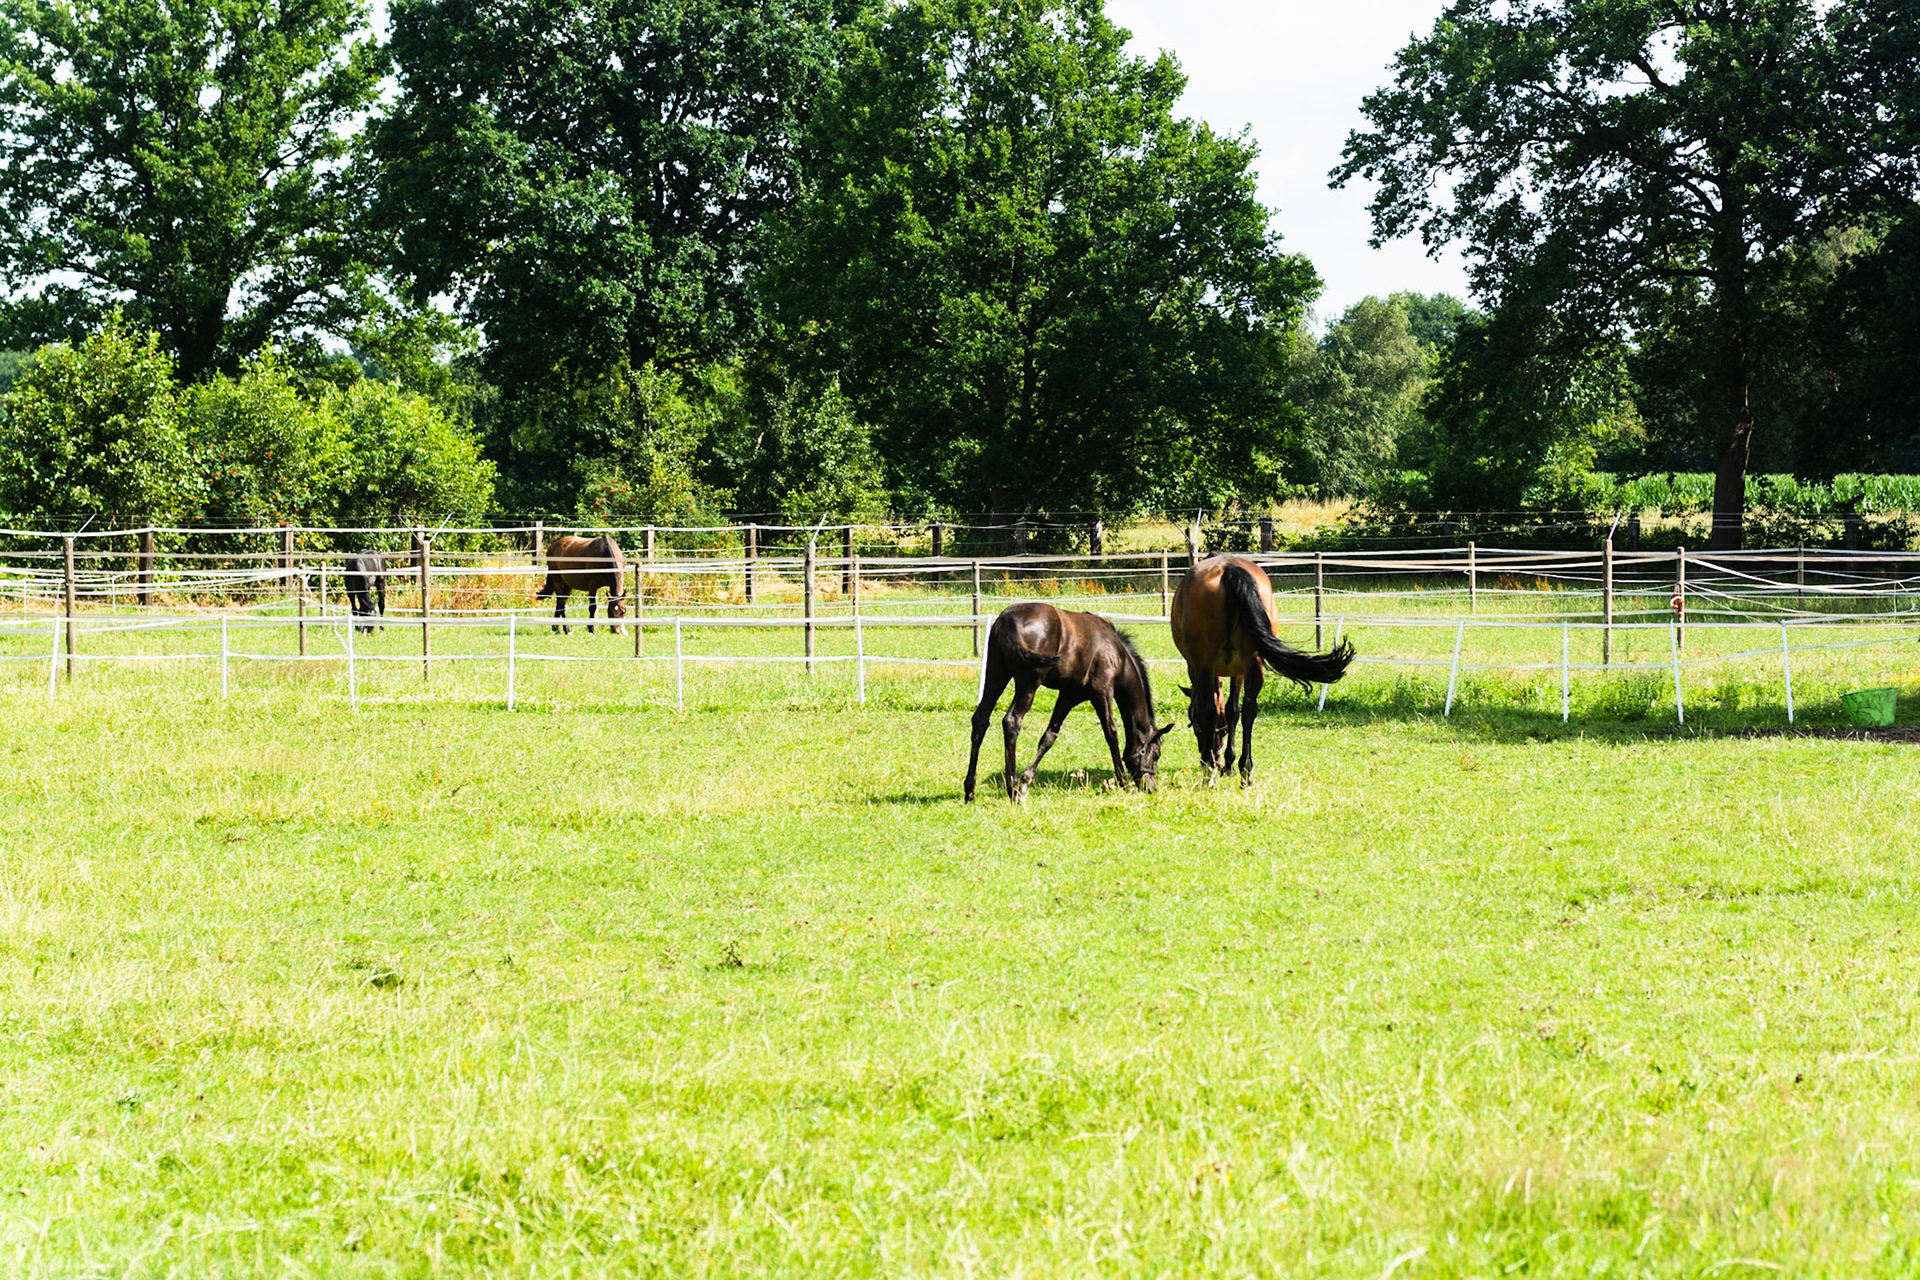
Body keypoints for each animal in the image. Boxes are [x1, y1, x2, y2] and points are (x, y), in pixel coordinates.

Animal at [965, 602, 1172, 802]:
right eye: (1156, 754)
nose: (1151, 788)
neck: (1116, 654)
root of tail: (1007, 620)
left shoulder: (1068, 696)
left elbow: (1049, 736)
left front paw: (1026, 780)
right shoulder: (1102, 693)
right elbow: (1111, 734)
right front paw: (1124, 783)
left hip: (997, 675)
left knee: (981, 719)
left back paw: (970, 790)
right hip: (1028, 684)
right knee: (1011, 721)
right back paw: (1012, 789)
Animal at [1170, 554, 1356, 785]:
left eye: (1193, 724)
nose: (1217, 758)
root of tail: (1229, 569)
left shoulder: (1198, 669)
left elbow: (1215, 710)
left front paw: (1216, 762)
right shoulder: (1238, 671)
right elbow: (1233, 710)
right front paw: (1229, 764)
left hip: (1205, 664)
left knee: (1211, 710)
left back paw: (1210, 772)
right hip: (1254, 662)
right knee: (1249, 709)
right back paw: (1245, 771)